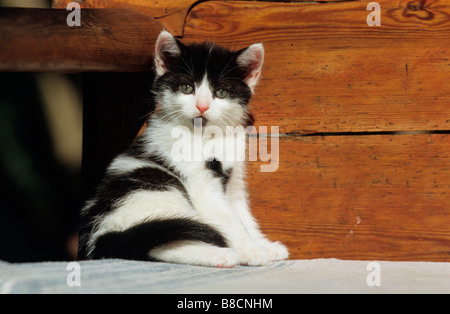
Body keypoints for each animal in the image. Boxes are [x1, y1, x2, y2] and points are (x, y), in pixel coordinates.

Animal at [78, 30, 290, 268]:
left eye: (221, 92)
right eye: (187, 88)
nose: (202, 106)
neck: (208, 136)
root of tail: (99, 237)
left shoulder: (234, 180)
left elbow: (242, 215)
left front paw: (263, 246)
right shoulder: (199, 183)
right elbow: (229, 219)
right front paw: (251, 251)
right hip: (155, 188)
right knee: (161, 246)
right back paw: (217, 254)